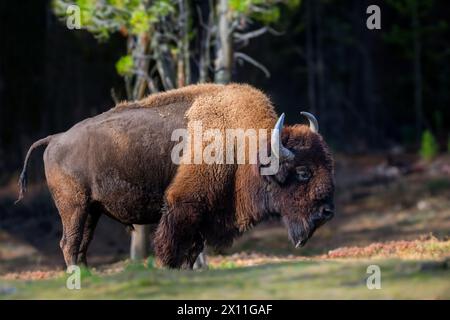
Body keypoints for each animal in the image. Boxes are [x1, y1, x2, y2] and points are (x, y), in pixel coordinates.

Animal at [16, 84, 334, 268]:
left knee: (81, 245)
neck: (244, 145)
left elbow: (191, 251)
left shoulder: (203, 217)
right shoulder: (183, 207)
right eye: (303, 172)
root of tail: (55, 138)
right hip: (74, 208)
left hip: (91, 210)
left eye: (328, 165)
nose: (327, 212)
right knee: (69, 244)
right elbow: (173, 247)